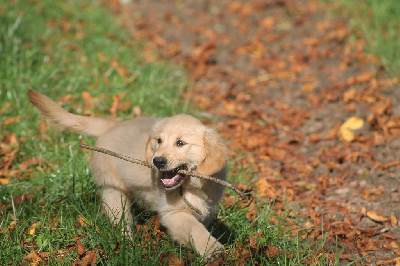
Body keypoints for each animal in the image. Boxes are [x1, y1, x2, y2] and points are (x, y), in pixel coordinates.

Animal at [27, 90, 228, 260]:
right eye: (159, 141)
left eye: (180, 143)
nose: (157, 161)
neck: (191, 186)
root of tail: (111, 126)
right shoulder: (173, 214)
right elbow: (195, 229)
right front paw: (213, 249)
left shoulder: (207, 208)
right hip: (114, 193)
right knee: (121, 221)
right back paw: (128, 247)